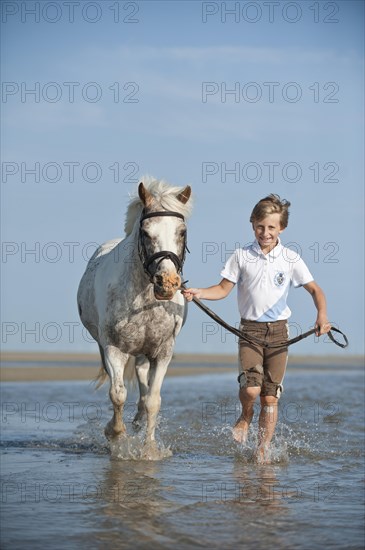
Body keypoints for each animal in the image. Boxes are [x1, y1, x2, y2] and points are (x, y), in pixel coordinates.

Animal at [76, 179, 191, 454]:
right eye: (146, 232)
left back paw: (139, 420)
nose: (167, 283)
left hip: (143, 350)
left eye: (181, 232)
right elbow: (117, 394)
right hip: (107, 346)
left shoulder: (163, 352)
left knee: (142, 376)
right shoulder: (113, 348)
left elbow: (153, 400)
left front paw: (149, 449)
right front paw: (115, 435)